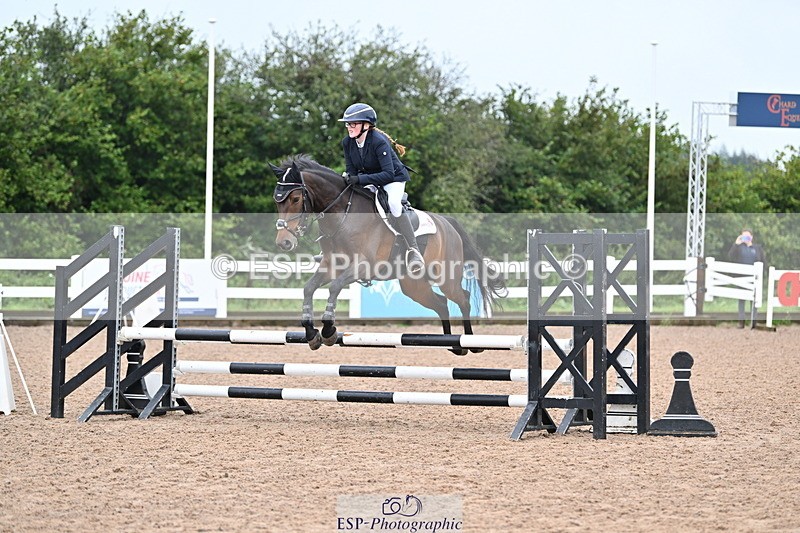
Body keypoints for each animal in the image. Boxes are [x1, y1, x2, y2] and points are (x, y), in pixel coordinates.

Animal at [271, 155, 506, 355]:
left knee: (463, 298)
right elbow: (309, 288)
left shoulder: (363, 266)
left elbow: (335, 287)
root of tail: (448, 223)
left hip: (445, 278)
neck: (343, 215)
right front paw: (312, 335)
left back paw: (470, 344)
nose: (284, 242)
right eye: (277, 201)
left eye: (295, 199)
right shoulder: (332, 265)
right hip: (414, 286)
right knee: (440, 303)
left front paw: (329, 331)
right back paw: (453, 345)